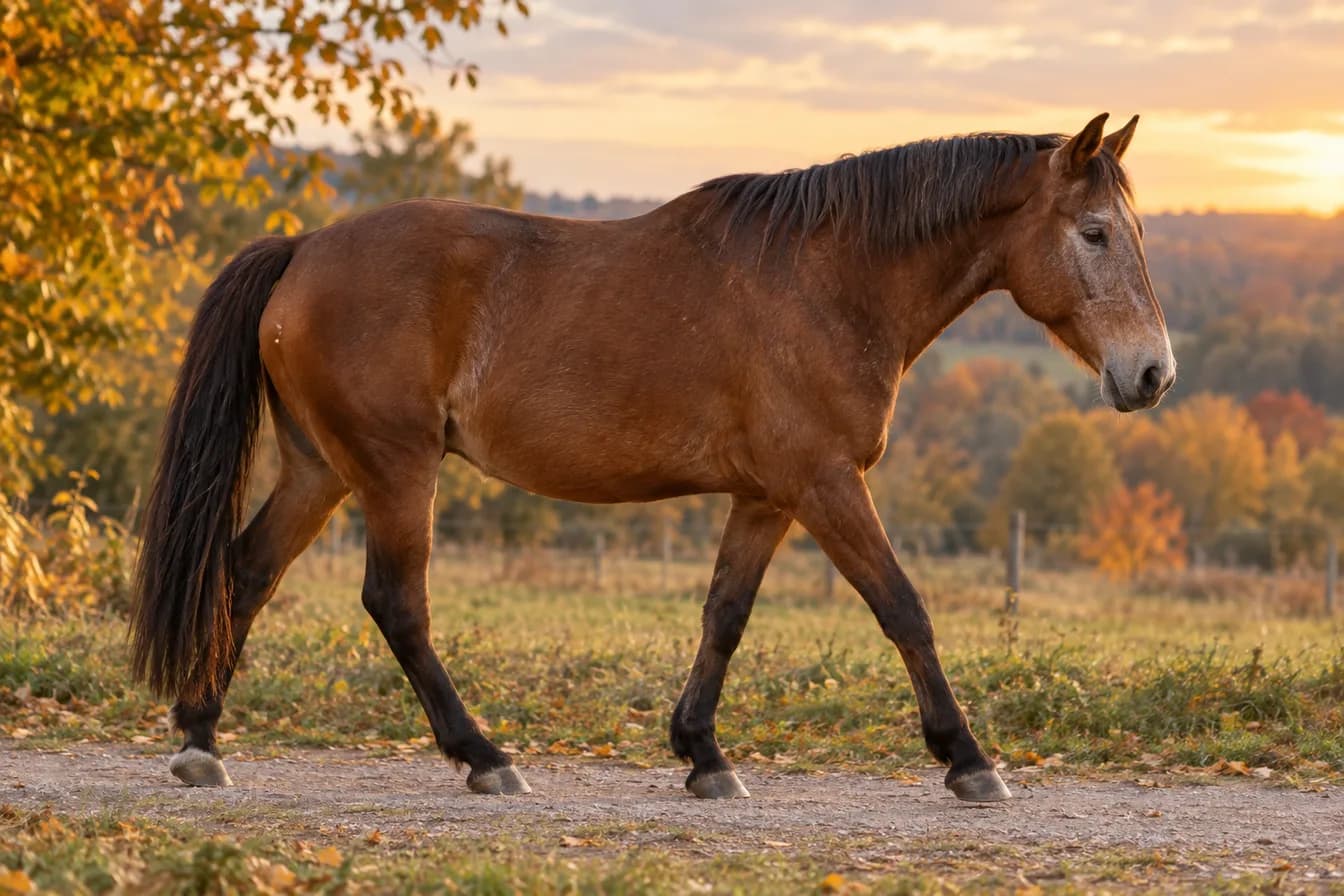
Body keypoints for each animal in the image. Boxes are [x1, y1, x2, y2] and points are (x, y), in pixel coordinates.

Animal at [131, 112, 1174, 802]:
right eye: (1092, 233)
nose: (1152, 373)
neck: (830, 279)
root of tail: (305, 249)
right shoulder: (827, 485)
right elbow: (904, 609)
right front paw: (967, 758)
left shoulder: (768, 498)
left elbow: (724, 617)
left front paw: (702, 753)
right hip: (393, 469)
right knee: (396, 604)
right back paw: (485, 758)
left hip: (322, 469)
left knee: (246, 572)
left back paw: (201, 739)